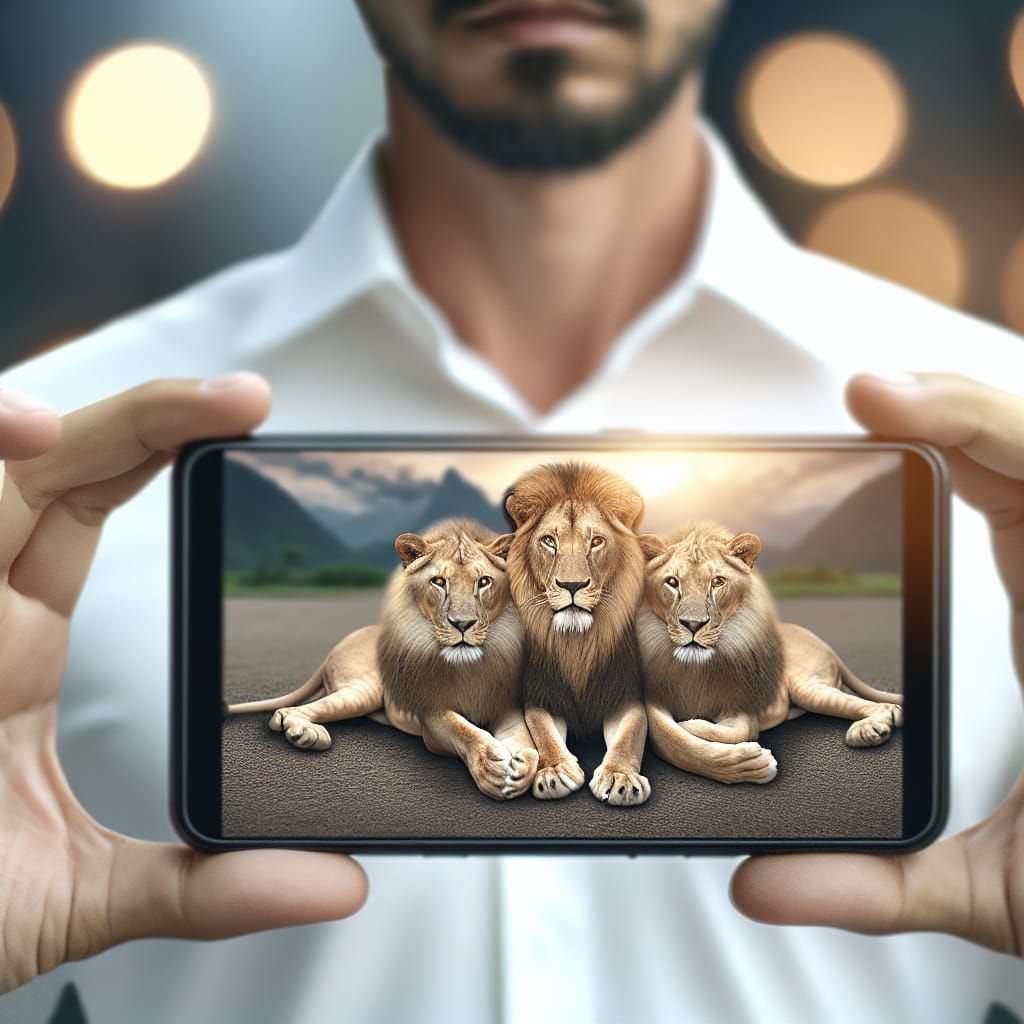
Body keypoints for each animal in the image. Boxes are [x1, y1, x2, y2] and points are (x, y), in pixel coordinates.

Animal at [226, 517, 539, 801]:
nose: (462, 624)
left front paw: (522, 768)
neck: (471, 668)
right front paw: (490, 767)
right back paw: (305, 733)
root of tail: (338, 645)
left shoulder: (506, 708)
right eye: (438, 582)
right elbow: (463, 731)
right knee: (290, 710)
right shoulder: (431, 716)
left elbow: (528, 744)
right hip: (367, 688)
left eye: (484, 582)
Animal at [505, 461, 651, 806]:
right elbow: (541, 732)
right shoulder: (541, 693)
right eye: (549, 541)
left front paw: (620, 778)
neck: (577, 644)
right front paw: (555, 770)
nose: (572, 586)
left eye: (596, 541)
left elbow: (630, 734)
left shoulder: (624, 692)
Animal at [636, 520, 904, 785]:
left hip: (807, 686)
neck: (693, 670)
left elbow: (738, 731)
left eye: (718, 582)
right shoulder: (654, 699)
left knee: (885, 707)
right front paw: (752, 764)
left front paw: (694, 726)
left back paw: (868, 731)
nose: (693, 624)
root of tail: (823, 642)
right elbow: (672, 741)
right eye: (672, 582)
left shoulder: (743, 704)